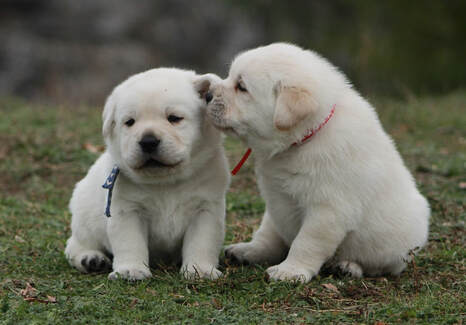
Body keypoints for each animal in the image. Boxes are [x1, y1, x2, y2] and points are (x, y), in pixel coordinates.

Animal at [65, 67, 229, 278]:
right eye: (130, 122)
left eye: (174, 118)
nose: (148, 141)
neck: (166, 182)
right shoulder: (127, 210)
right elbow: (130, 242)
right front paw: (130, 270)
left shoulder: (206, 208)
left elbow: (202, 242)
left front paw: (200, 270)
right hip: (84, 218)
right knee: (75, 244)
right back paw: (91, 258)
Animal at [204, 43, 430, 280]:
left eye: (242, 87)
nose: (207, 94)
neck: (304, 139)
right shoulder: (276, 198)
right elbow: (269, 231)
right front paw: (256, 251)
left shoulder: (327, 208)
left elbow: (306, 242)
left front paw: (290, 271)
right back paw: (246, 251)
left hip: (393, 246)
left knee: (376, 265)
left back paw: (348, 266)